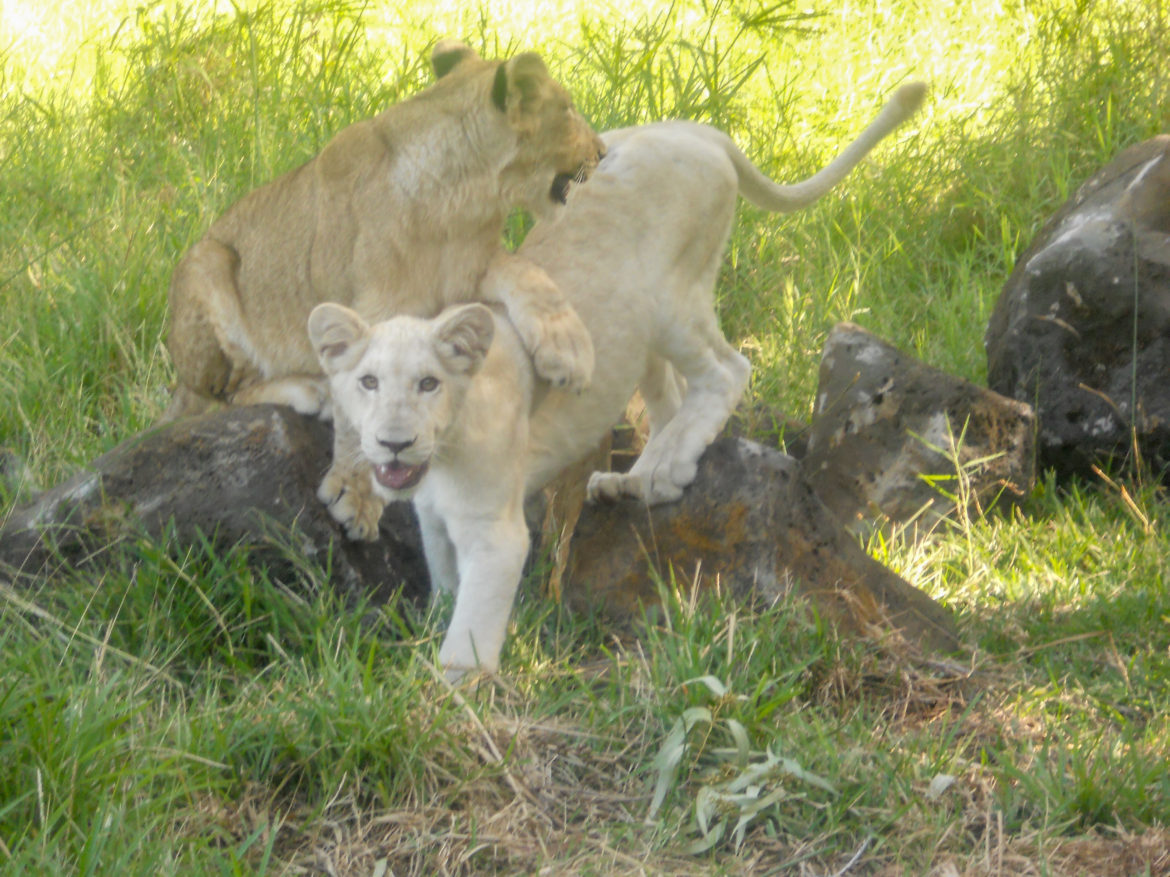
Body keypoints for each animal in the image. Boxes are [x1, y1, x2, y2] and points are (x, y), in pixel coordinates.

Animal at [163, 40, 604, 535]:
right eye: (568, 110)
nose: (604, 150)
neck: (463, 201)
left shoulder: (474, 267)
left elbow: (529, 274)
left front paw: (569, 351)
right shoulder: (370, 311)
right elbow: (367, 403)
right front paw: (356, 493)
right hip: (208, 264)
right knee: (222, 397)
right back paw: (309, 388)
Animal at [308, 82, 927, 676]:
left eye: (428, 384)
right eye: (367, 383)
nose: (393, 441)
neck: (442, 454)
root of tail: (693, 129)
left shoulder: (494, 532)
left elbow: (470, 630)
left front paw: (450, 689)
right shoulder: (435, 521)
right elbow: (444, 590)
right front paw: (425, 635)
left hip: (670, 299)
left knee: (727, 369)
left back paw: (660, 473)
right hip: (639, 337)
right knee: (672, 394)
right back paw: (636, 479)